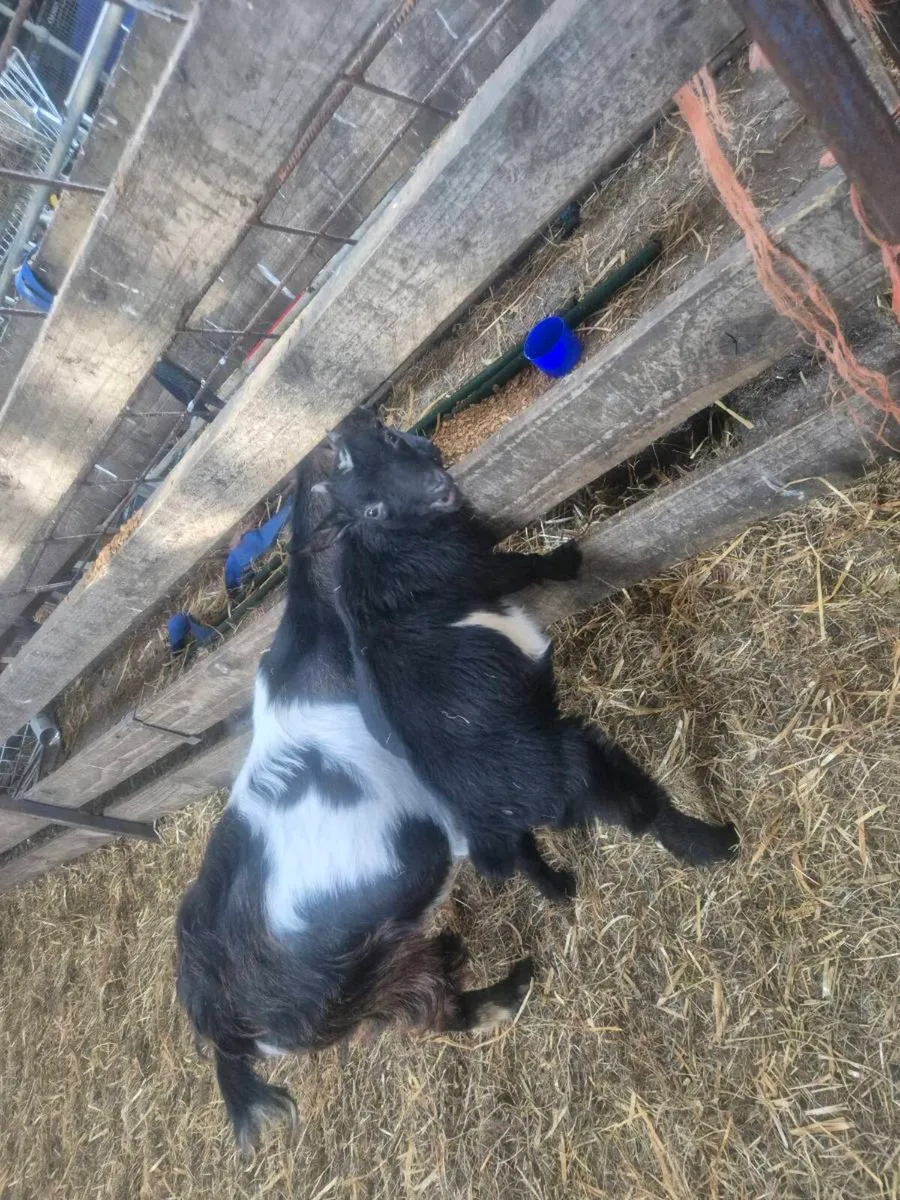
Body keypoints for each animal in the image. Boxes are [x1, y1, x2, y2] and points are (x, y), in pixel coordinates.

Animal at [175, 435, 533, 1156]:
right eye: (364, 501)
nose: (443, 483)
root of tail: (226, 1026)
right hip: (364, 982)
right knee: (433, 1011)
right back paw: (510, 987)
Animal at [320, 411, 739, 900]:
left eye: (388, 437)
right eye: (373, 509)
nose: (437, 486)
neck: (382, 546)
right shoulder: (473, 565)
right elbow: (521, 568)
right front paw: (566, 559)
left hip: (517, 822)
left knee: (522, 853)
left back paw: (560, 887)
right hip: (578, 766)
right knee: (641, 811)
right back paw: (717, 841)